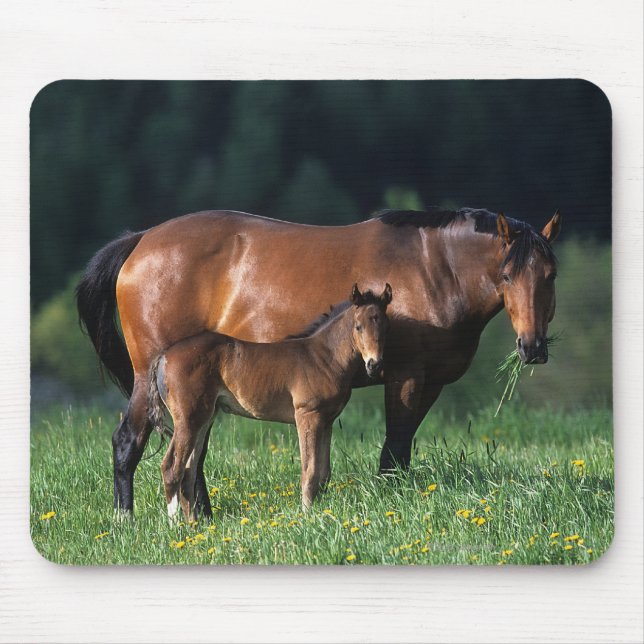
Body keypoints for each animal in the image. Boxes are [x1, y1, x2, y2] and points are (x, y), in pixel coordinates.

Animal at [147, 283, 391, 517]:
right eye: (358, 326)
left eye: (384, 325)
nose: (375, 364)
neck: (324, 357)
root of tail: (163, 356)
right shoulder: (307, 416)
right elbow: (310, 471)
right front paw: (307, 515)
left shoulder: (326, 421)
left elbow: (324, 473)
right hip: (188, 419)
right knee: (171, 468)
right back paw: (175, 525)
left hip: (204, 418)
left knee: (188, 470)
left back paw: (195, 526)